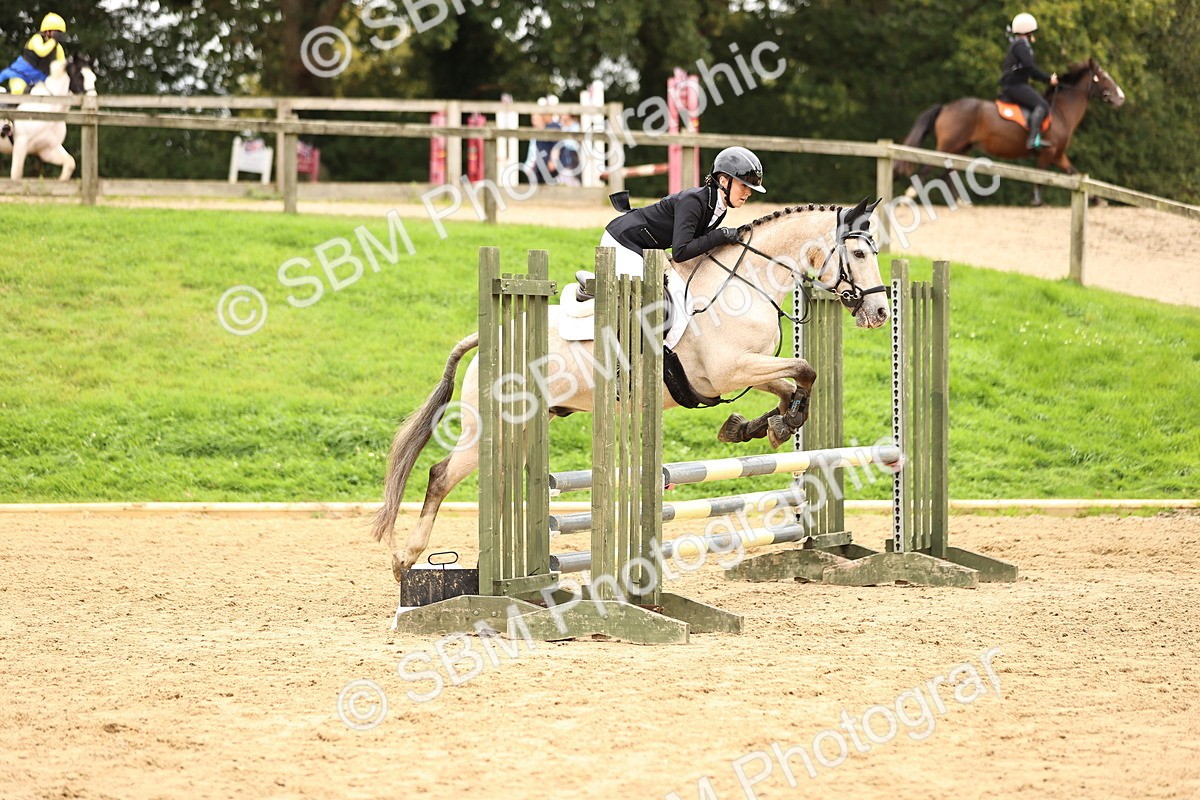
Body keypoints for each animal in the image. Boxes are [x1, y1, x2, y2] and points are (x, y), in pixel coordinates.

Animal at [373, 198, 890, 578]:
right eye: (860, 254)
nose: (880, 313)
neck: (746, 284)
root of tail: (488, 338)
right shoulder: (730, 370)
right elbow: (804, 369)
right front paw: (774, 425)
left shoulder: (743, 371)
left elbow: (795, 381)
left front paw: (758, 426)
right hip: (490, 426)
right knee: (441, 475)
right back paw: (406, 561)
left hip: (521, 427)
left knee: (496, 482)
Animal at [896, 58, 1125, 205]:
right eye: (1103, 77)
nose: (1121, 97)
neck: (1060, 112)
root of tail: (946, 107)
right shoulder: (1047, 153)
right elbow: (1041, 175)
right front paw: (1037, 201)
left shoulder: (1059, 155)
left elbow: (1074, 173)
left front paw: (1098, 199)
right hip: (948, 146)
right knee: (928, 168)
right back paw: (909, 196)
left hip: (962, 148)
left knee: (948, 171)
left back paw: (959, 201)